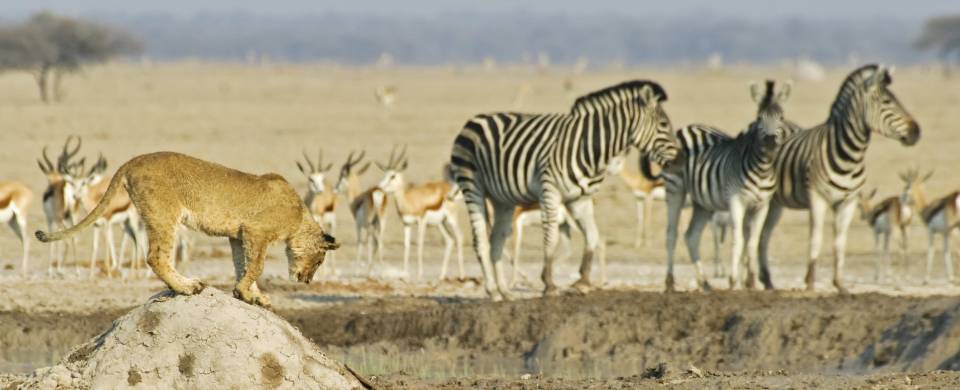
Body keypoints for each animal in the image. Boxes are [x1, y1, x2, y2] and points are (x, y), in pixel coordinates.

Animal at [452, 79, 684, 298]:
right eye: (664, 124)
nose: (680, 160)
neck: (590, 147)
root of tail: (475, 119)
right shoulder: (550, 192)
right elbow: (551, 238)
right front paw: (549, 284)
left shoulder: (581, 199)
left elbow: (592, 236)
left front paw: (583, 282)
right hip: (472, 185)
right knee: (480, 241)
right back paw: (492, 291)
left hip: (502, 200)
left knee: (496, 241)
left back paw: (505, 293)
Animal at [664, 80, 792, 290]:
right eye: (759, 118)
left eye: (781, 117)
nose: (770, 140)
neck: (762, 168)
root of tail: (690, 126)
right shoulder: (736, 200)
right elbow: (738, 240)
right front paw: (734, 282)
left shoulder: (762, 205)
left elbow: (753, 241)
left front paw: (752, 282)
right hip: (675, 188)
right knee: (671, 234)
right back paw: (669, 283)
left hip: (703, 203)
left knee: (691, 236)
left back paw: (705, 283)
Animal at [756, 64, 924, 292]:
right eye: (887, 101)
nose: (917, 131)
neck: (850, 155)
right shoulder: (817, 198)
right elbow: (816, 238)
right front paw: (810, 283)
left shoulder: (849, 201)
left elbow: (840, 242)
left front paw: (839, 284)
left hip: (775, 204)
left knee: (763, 237)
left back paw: (767, 281)